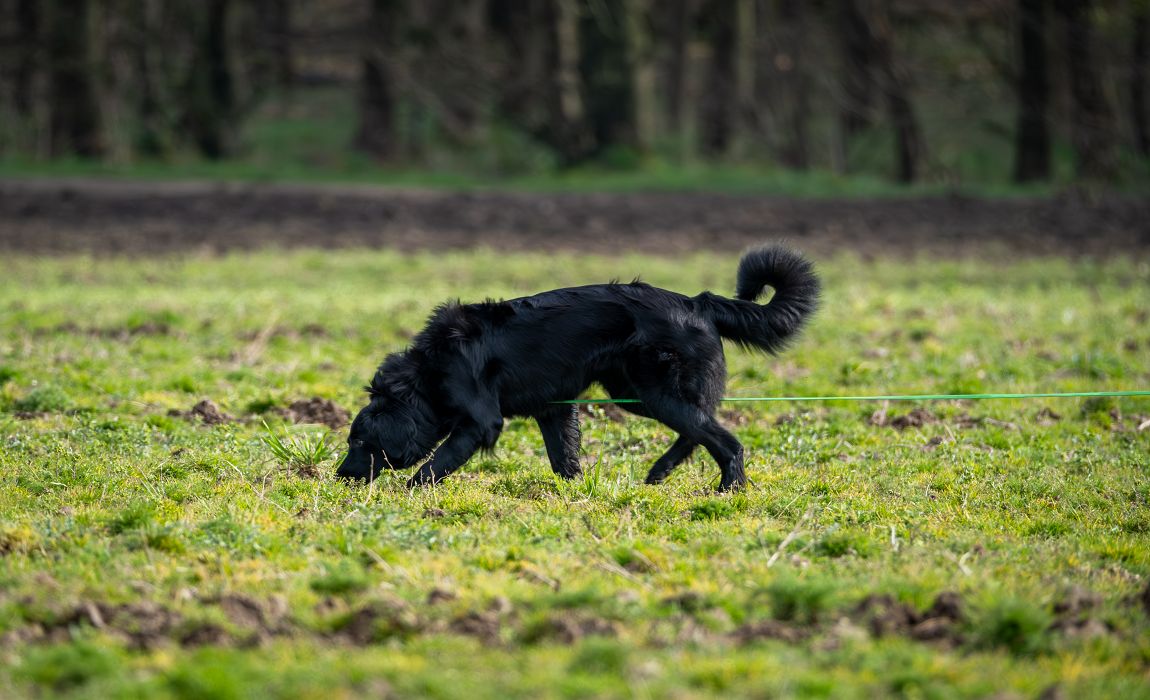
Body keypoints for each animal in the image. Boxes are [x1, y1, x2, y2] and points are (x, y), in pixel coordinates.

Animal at [335, 245, 823, 491]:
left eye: (357, 440)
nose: (340, 476)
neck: (426, 374)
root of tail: (697, 302)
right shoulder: (554, 407)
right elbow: (563, 456)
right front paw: (574, 491)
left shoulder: (479, 422)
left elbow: (437, 463)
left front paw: (411, 491)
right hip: (635, 392)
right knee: (700, 428)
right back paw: (660, 473)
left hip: (654, 390)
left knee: (724, 438)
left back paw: (728, 489)